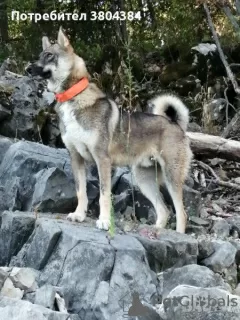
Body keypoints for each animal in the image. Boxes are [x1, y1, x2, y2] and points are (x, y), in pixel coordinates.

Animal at [26, 27, 192, 232]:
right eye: (39, 56)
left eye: (49, 55)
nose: (28, 69)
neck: (73, 97)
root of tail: (175, 124)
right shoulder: (76, 158)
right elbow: (81, 191)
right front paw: (79, 215)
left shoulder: (102, 160)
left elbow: (104, 194)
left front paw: (104, 221)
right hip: (144, 179)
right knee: (164, 210)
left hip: (172, 177)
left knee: (181, 213)